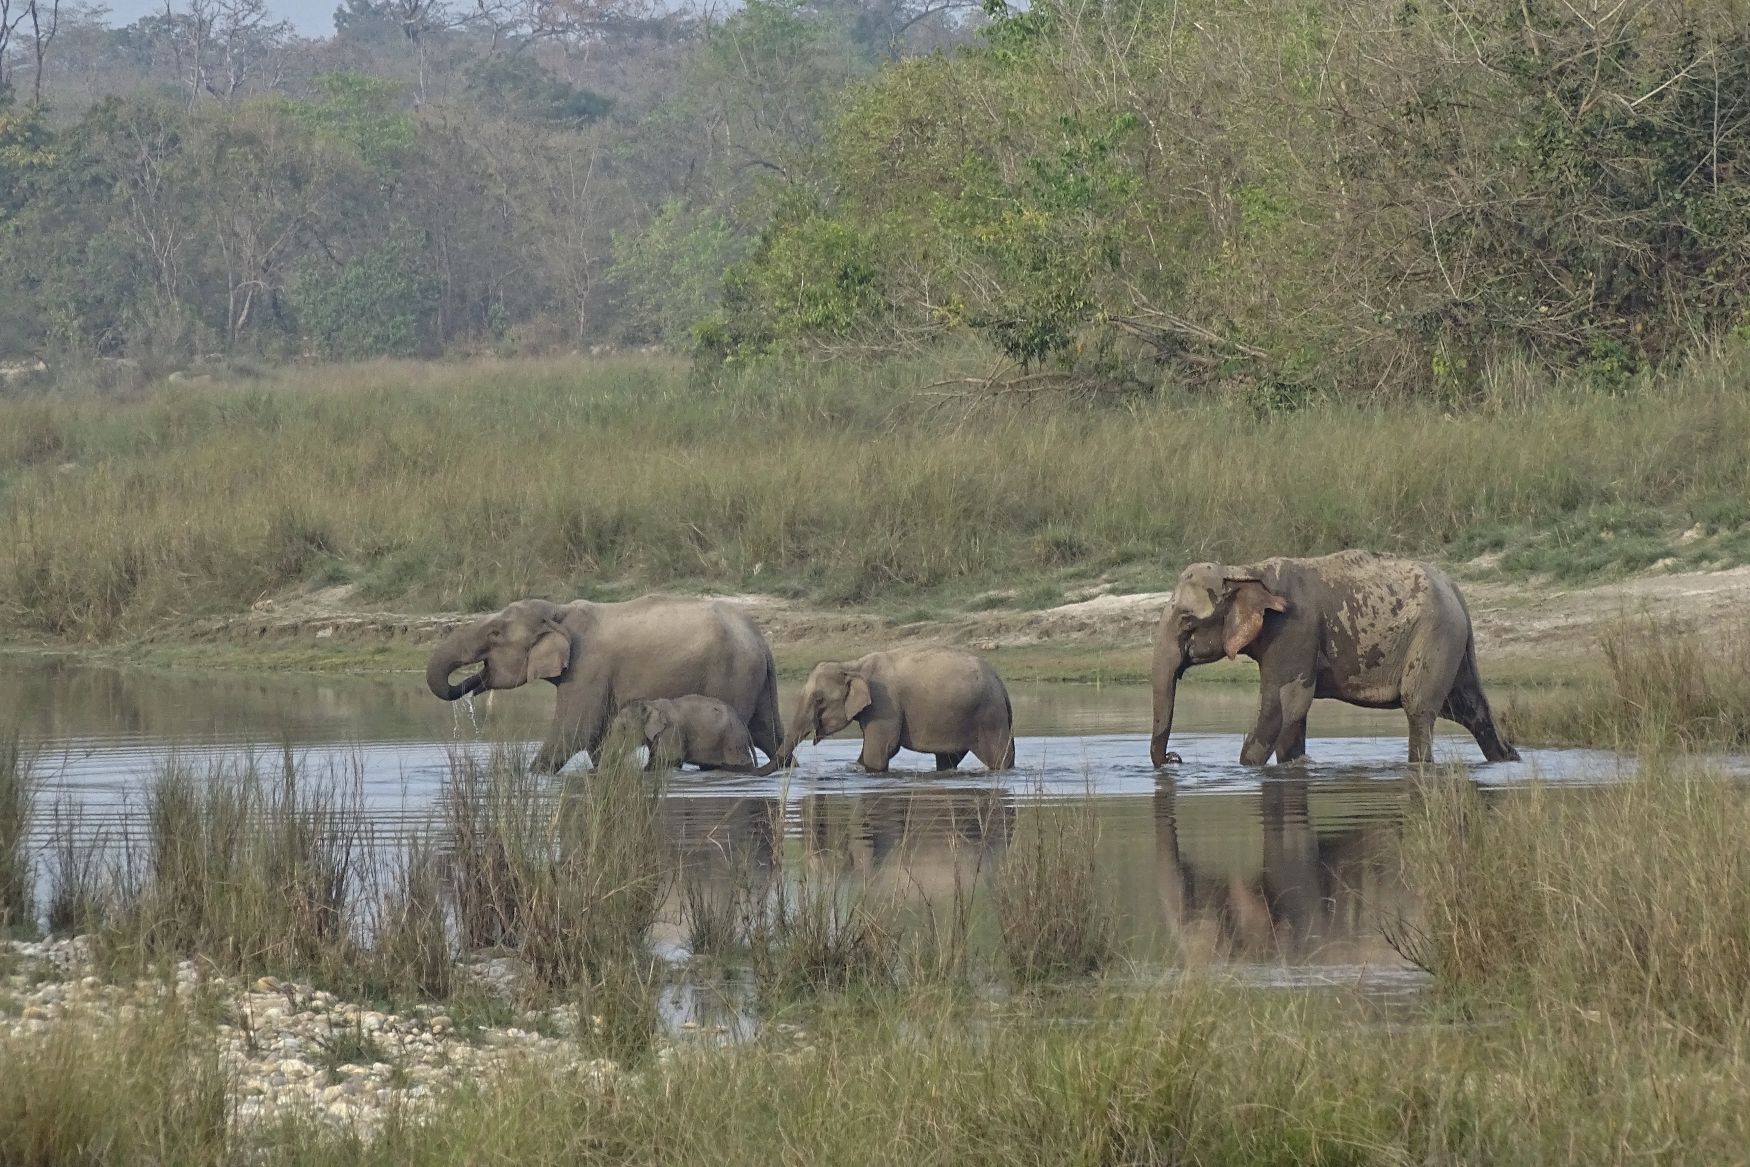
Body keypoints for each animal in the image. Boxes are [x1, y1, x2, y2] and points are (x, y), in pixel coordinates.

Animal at [605, 692, 763, 776]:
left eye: (624, 728)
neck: (651, 704)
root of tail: (741, 721)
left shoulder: (672, 731)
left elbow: (669, 760)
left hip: (733, 739)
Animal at [763, 647, 1015, 776]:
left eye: (819, 699)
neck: (853, 665)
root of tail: (1001, 683)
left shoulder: (885, 705)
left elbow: (880, 751)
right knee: (948, 759)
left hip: (989, 716)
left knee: (999, 758)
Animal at [1148, 549, 1519, 766]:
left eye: (1186, 621)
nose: (1175, 758)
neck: (1244, 570)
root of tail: (1456, 590)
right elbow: (1294, 716)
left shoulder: (1294, 629)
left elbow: (1280, 708)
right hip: (1453, 642)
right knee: (1470, 709)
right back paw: (1508, 758)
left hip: (1435, 634)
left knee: (1419, 708)